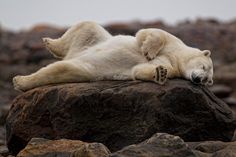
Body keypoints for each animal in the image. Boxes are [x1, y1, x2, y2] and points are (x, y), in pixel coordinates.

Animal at [12, 21, 214, 91]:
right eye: (204, 67)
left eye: (207, 80)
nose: (198, 79)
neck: (177, 57)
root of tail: (73, 55)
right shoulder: (174, 44)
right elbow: (150, 33)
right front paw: (148, 50)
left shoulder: (173, 66)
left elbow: (140, 70)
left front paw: (160, 73)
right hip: (93, 40)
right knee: (87, 26)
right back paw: (49, 43)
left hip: (88, 69)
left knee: (64, 69)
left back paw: (21, 81)